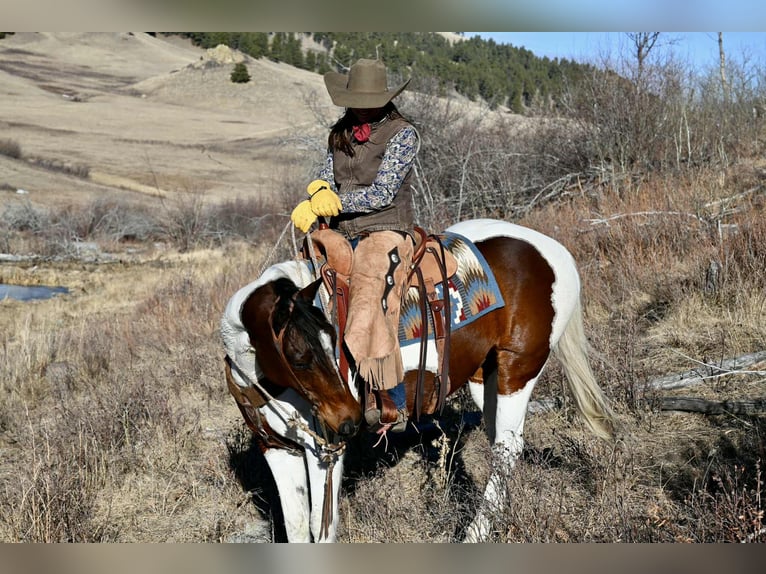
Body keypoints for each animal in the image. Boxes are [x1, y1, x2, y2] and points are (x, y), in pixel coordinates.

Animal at [220, 218, 615, 542]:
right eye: (300, 358)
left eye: (334, 342)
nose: (348, 422)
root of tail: (553, 250)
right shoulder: (278, 449)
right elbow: (298, 528)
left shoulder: (324, 452)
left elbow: (322, 529)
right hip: (483, 377)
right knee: (501, 442)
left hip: (518, 368)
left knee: (507, 447)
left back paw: (475, 533)